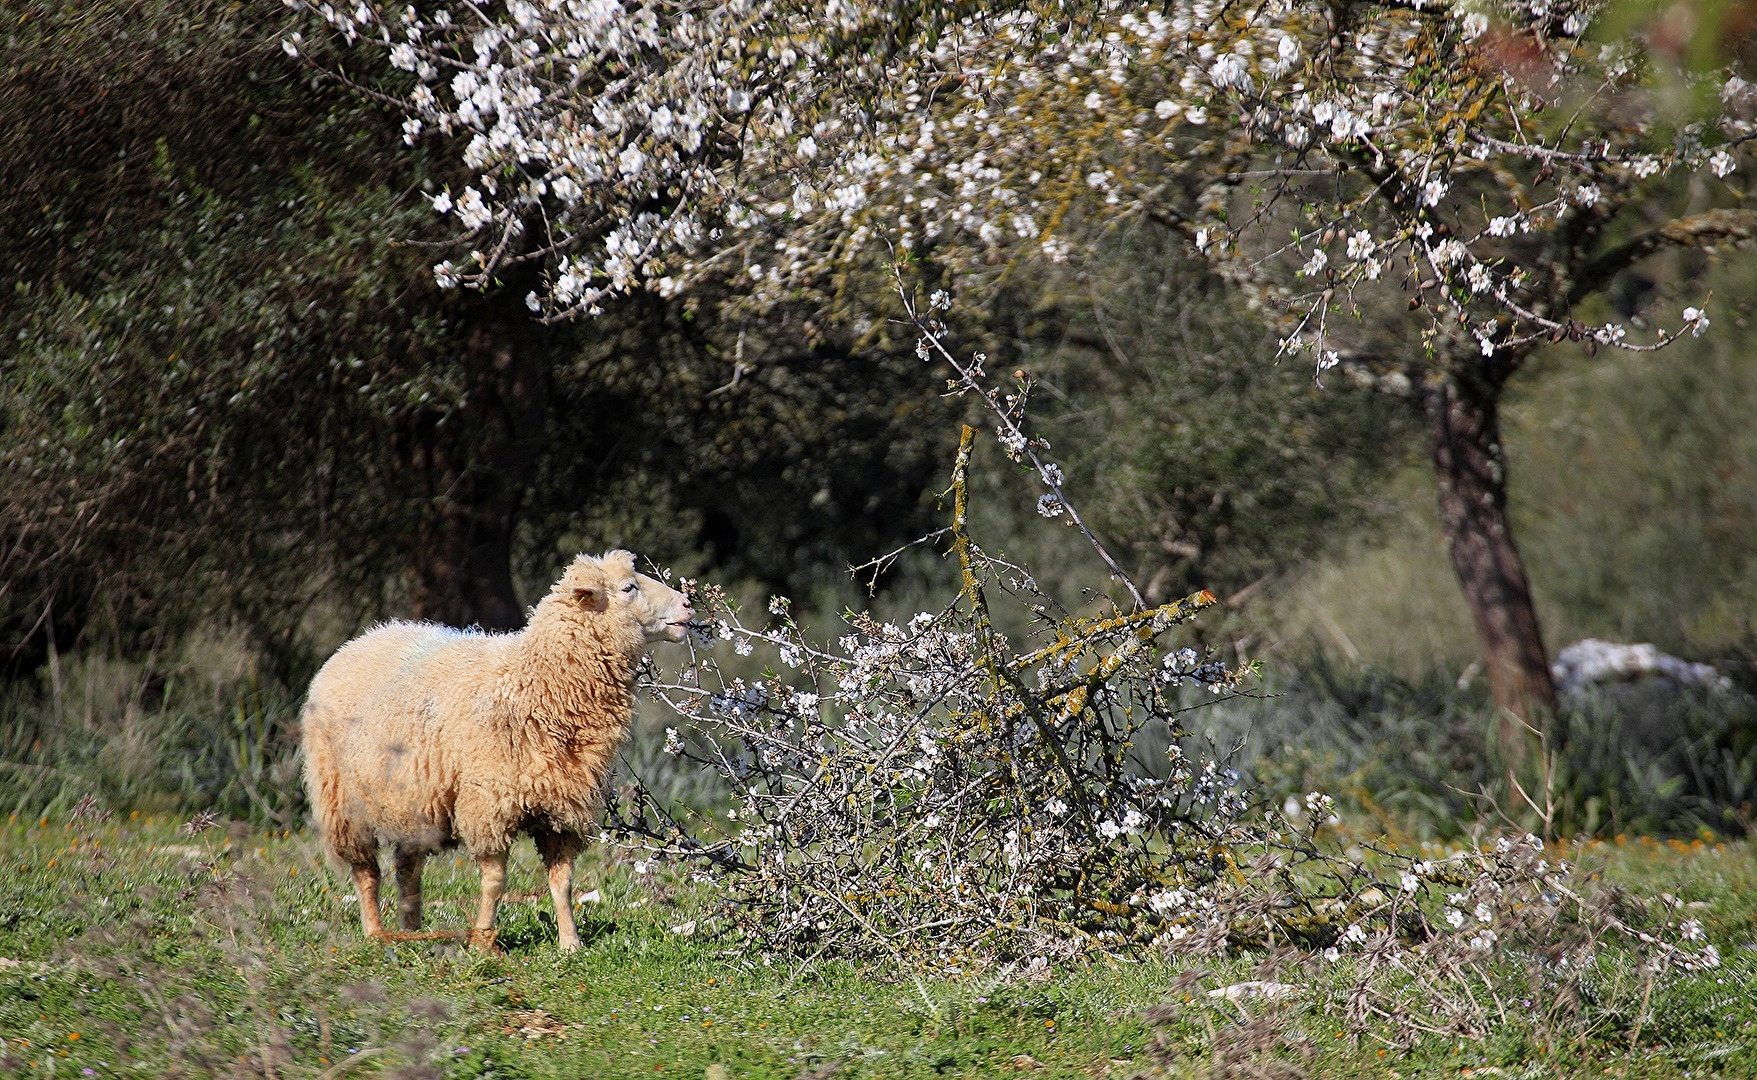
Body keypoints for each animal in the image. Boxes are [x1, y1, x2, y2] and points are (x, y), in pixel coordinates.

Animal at [298, 554, 688, 948]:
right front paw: (484, 941)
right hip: (342, 801)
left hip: (416, 800)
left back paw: (413, 931)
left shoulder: (564, 809)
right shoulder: (488, 805)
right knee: (366, 871)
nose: (687, 605)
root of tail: (365, 637)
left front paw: (570, 943)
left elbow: (562, 883)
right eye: (629, 587)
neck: (534, 687)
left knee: (408, 868)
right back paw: (376, 932)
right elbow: (495, 883)